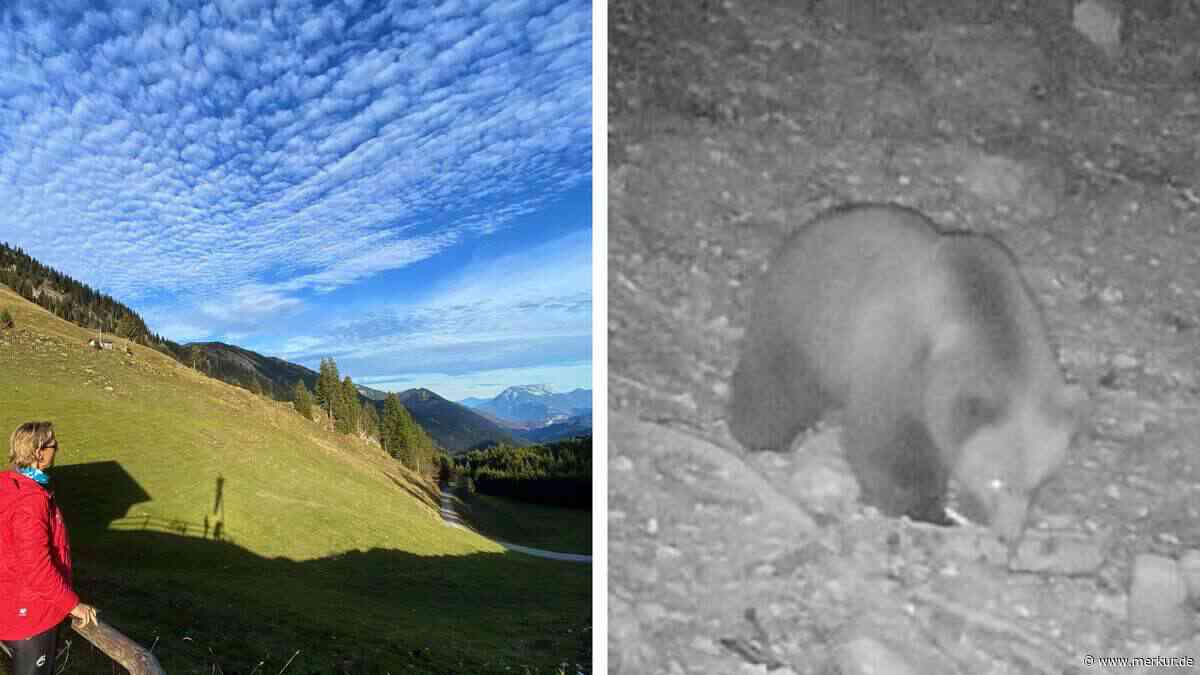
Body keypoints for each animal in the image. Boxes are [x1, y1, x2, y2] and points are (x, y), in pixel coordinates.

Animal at [728, 203, 1085, 550]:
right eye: (995, 480)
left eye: (1038, 481)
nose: (1008, 536)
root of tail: (808, 230)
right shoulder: (899, 365)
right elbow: (891, 446)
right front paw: (926, 509)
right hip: (804, 322)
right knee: (776, 381)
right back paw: (761, 434)